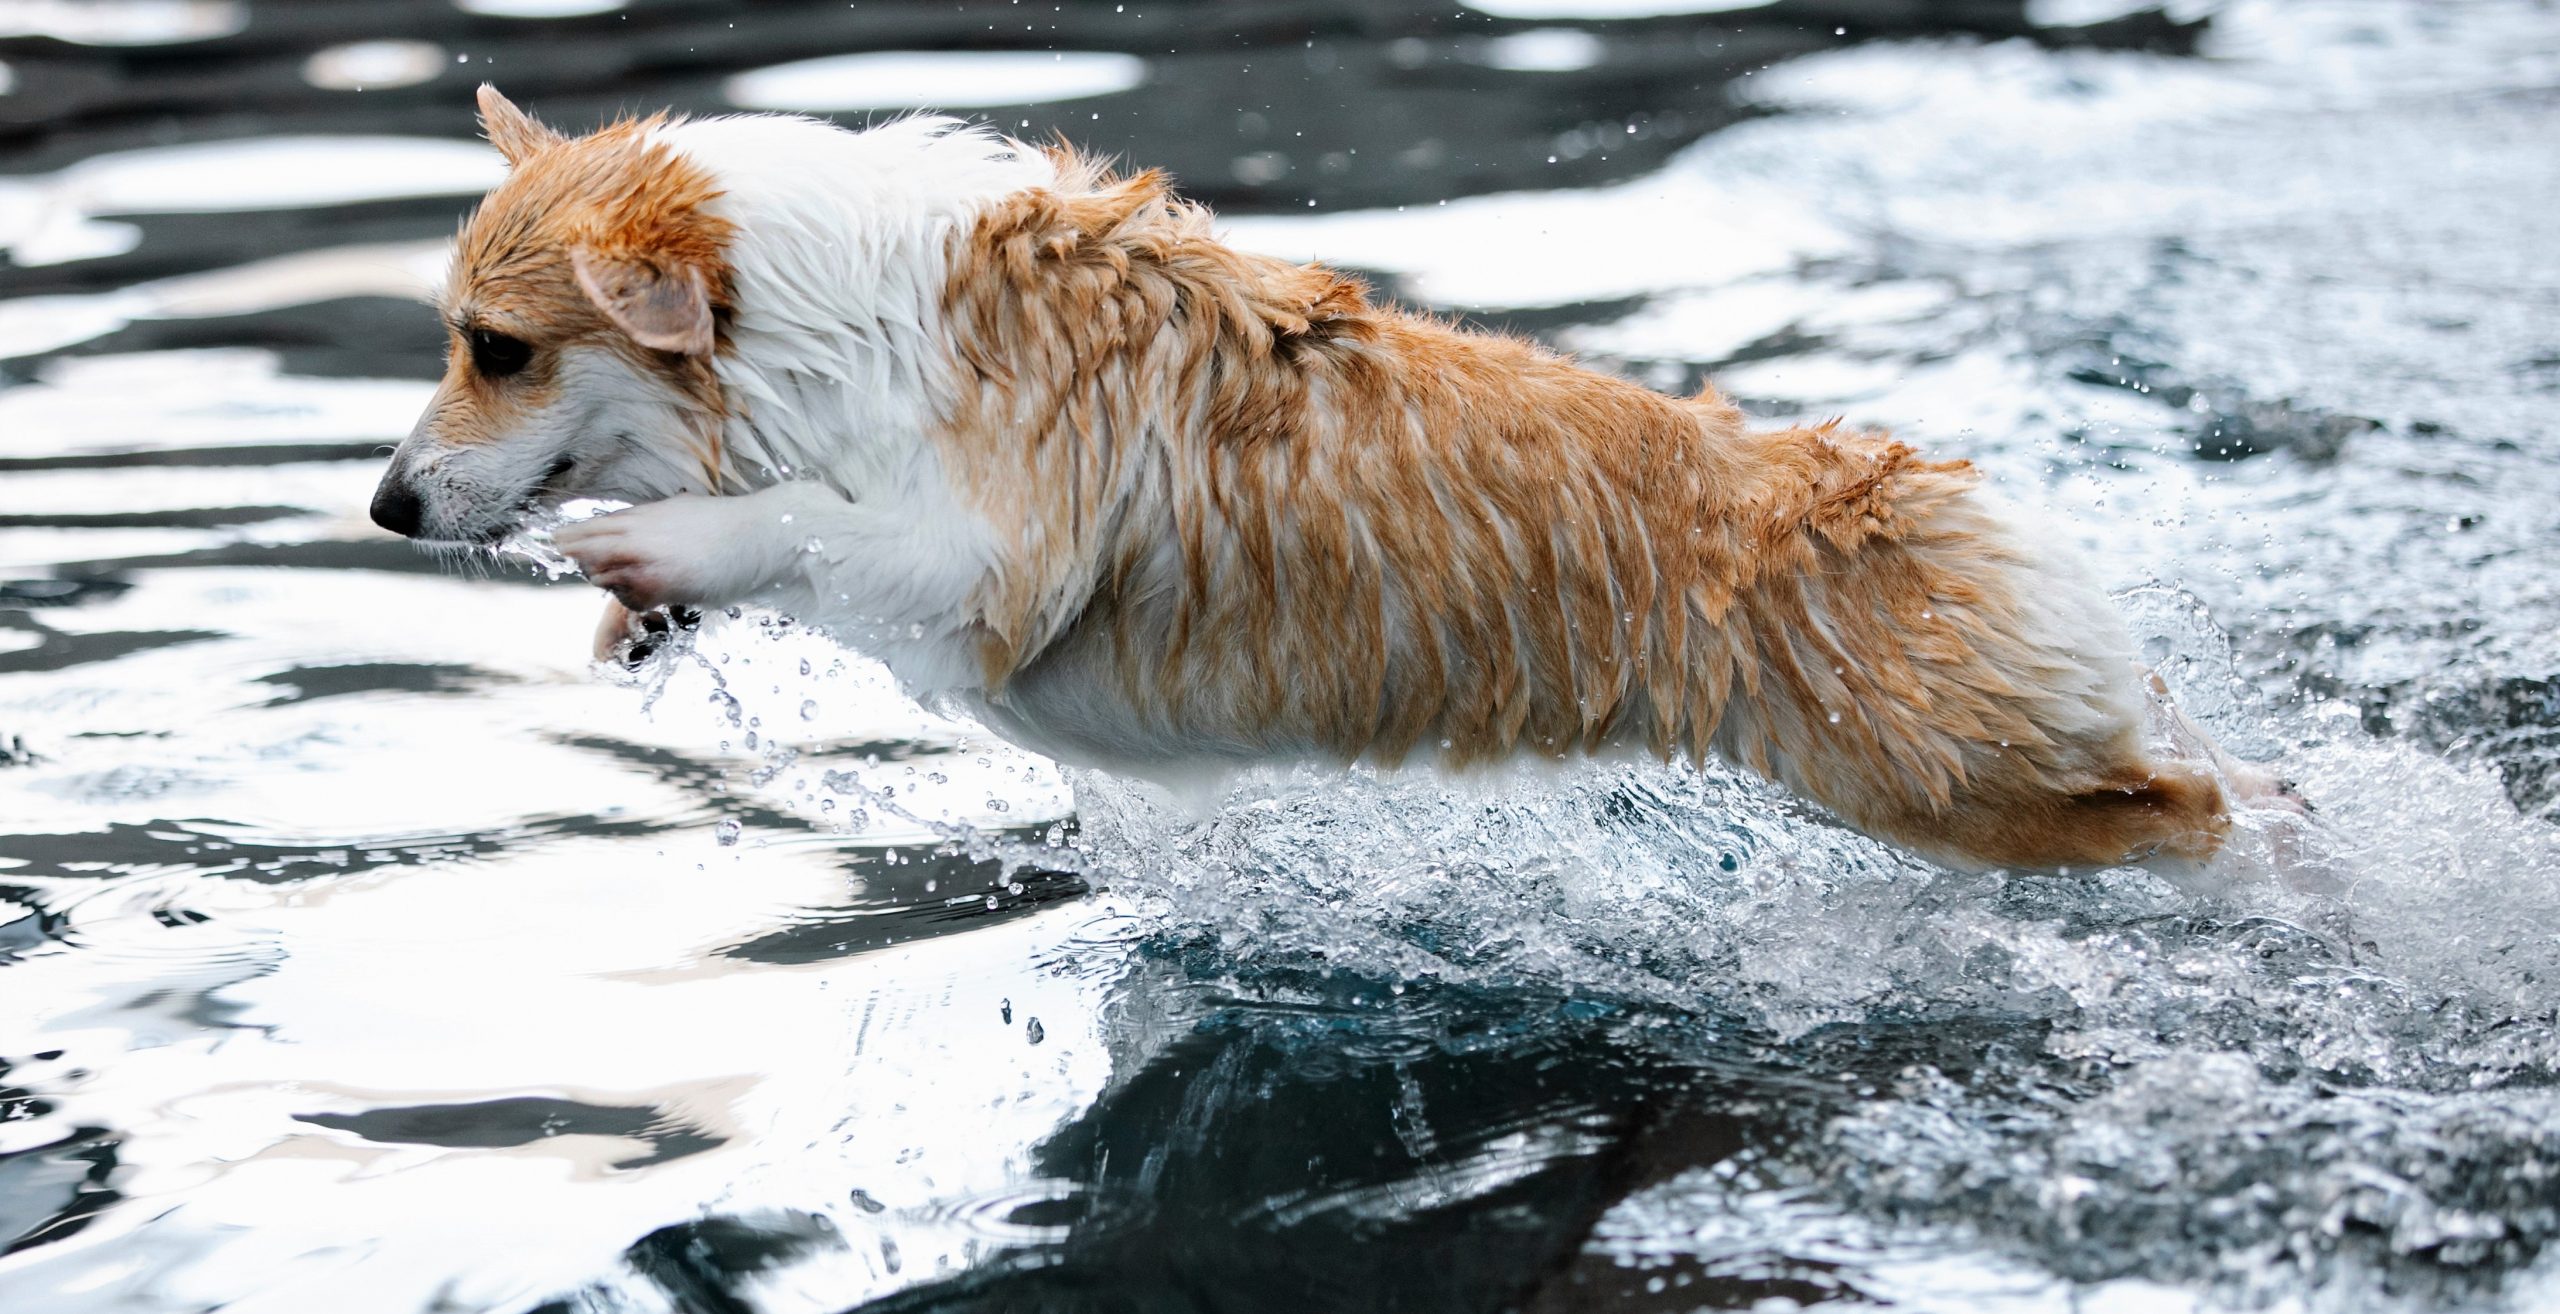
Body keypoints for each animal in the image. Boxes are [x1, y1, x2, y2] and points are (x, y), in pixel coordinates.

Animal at [366, 87, 2283, 876]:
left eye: (498, 348)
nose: (383, 509)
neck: (811, 308)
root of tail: (1920, 482)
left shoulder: (989, 554)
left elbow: (805, 527)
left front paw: (660, 541)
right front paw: (637, 610)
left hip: (1949, 781)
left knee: (2206, 811)